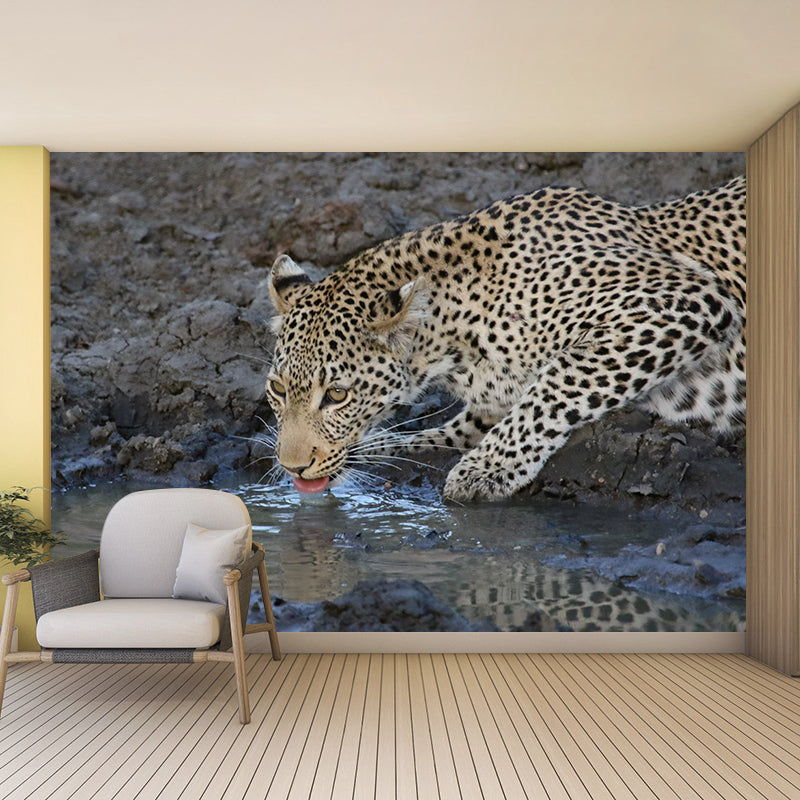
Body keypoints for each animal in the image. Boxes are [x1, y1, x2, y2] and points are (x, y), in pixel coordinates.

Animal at [264, 176, 745, 502]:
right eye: (278, 389)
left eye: (337, 395)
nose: (292, 466)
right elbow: (447, 431)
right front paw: (376, 449)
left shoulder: (682, 299)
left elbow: (558, 384)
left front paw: (484, 470)